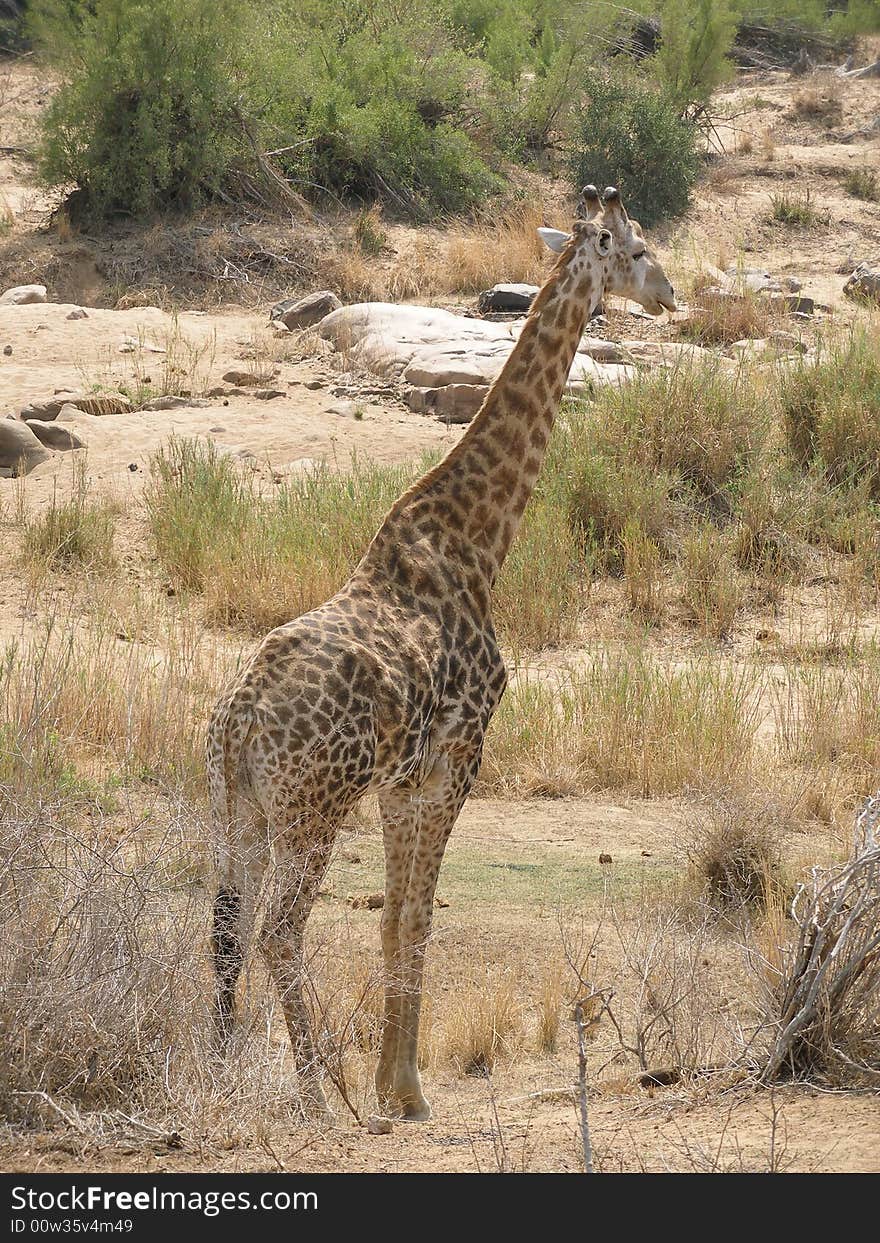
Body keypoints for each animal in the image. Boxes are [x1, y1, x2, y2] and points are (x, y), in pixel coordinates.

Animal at [206, 188, 676, 1123]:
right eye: (638, 249)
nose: (672, 296)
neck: (480, 543)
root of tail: (238, 721)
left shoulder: (400, 778)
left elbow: (393, 918)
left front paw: (393, 1085)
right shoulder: (458, 756)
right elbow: (419, 915)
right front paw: (406, 1091)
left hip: (240, 804)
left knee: (228, 928)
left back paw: (216, 1070)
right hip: (311, 807)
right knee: (279, 927)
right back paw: (315, 1093)